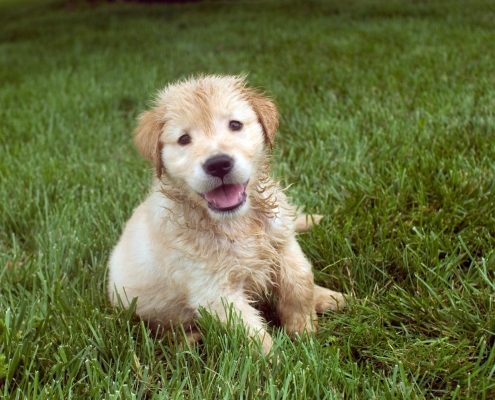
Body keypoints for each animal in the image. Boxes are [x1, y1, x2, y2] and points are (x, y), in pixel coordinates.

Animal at [107, 75, 344, 354]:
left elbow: (299, 281)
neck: (236, 222)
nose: (218, 163)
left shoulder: (283, 243)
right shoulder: (214, 291)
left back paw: (330, 296)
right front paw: (280, 359)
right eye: (184, 139)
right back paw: (189, 340)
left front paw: (304, 330)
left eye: (235, 125)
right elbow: (252, 333)